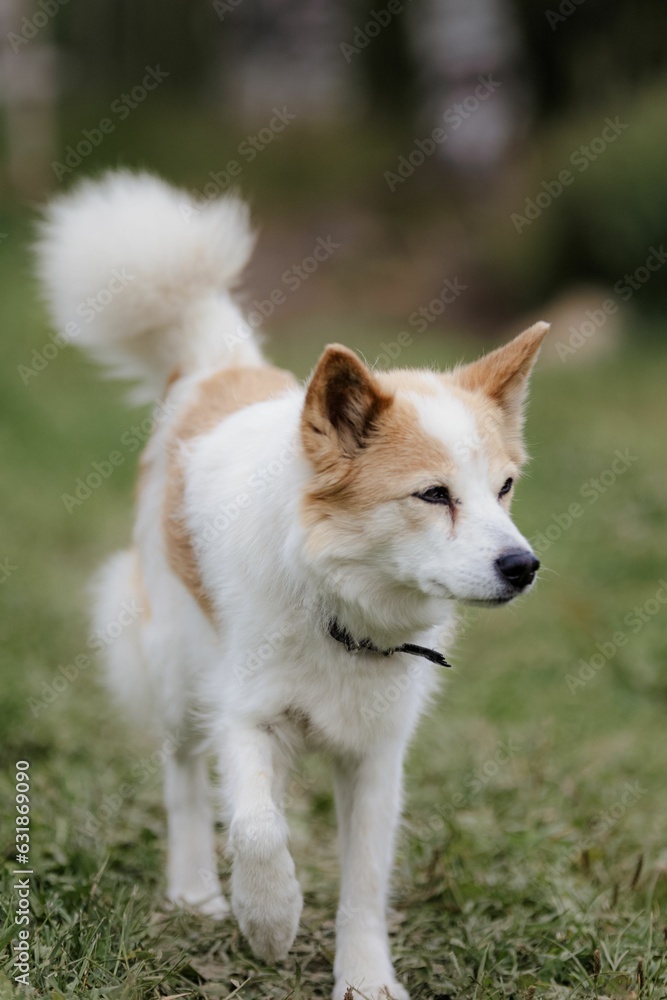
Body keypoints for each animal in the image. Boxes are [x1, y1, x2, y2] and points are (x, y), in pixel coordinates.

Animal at [35, 174, 548, 1000]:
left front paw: (364, 977)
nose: (522, 567)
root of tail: (218, 368)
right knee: (182, 777)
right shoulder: (244, 715)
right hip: (174, 672)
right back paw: (195, 891)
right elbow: (255, 827)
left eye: (503, 489)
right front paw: (269, 921)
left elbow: (363, 884)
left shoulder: (376, 758)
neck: (336, 606)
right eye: (433, 495)